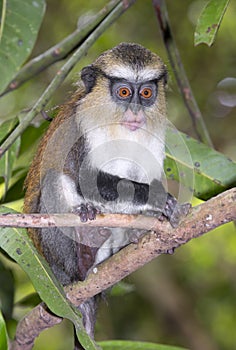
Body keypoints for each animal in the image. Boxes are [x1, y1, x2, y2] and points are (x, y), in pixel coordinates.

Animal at [24, 42, 189, 348]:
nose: (135, 112)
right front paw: (160, 199)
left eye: (146, 93)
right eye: (123, 92)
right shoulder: (79, 129)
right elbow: (87, 179)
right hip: (56, 257)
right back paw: (84, 252)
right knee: (54, 179)